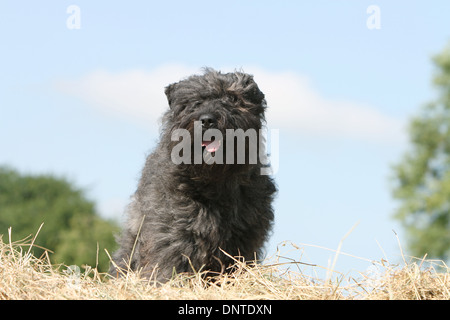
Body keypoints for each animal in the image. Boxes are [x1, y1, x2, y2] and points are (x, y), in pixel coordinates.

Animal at [110, 68, 276, 282]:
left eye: (233, 98)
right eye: (195, 102)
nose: (207, 119)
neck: (215, 181)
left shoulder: (245, 236)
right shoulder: (174, 231)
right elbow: (170, 261)